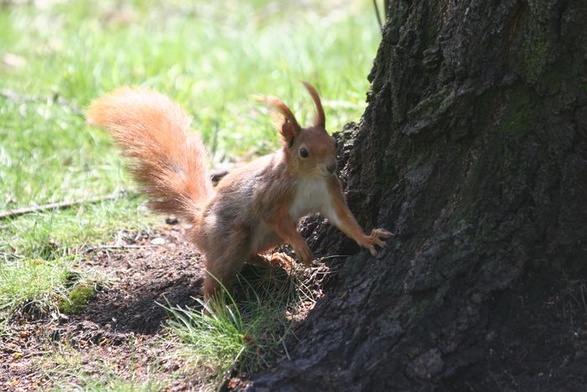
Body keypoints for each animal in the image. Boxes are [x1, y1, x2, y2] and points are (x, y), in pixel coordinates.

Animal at [87, 82, 392, 298]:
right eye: (304, 152)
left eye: (333, 143)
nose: (331, 166)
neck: (308, 178)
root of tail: (199, 221)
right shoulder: (271, 194)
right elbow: (270, 214)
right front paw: (301, 246)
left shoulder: (329, 191)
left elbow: (345, 220)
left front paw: (368, 239)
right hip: (229, 236)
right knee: (218, 274)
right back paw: (218, 307)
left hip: (266, 237)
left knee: (251, 255)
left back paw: (274, 260)